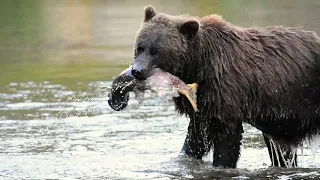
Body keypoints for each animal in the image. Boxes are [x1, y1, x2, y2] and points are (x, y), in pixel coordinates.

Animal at [107, 5, 320, 169]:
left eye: (157, 51)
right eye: (140, 47)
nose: (137, 71)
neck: (196, 65)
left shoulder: (224, 90)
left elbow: (227, 137)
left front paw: (222, 163)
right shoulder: (203, 102)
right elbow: (196, 137)